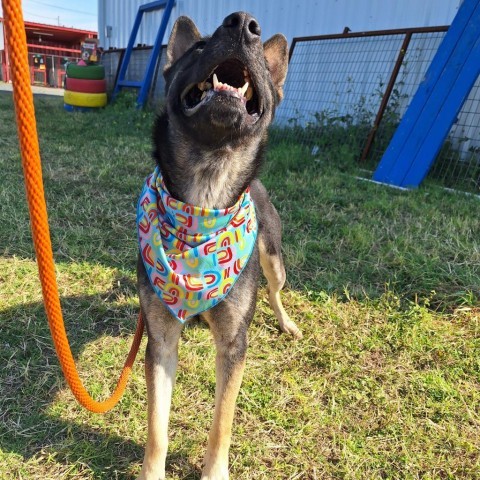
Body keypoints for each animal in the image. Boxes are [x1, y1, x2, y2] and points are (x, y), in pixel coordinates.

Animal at [136, 11, 300, 480]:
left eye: (258, 54)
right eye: (197, 47)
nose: (243, 24)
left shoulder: (233, 345)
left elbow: (222, 422)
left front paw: (213, 471)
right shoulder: (160, 340)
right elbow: (157, 426)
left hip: (272, 258)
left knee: (275, 292)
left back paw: (286, 322)